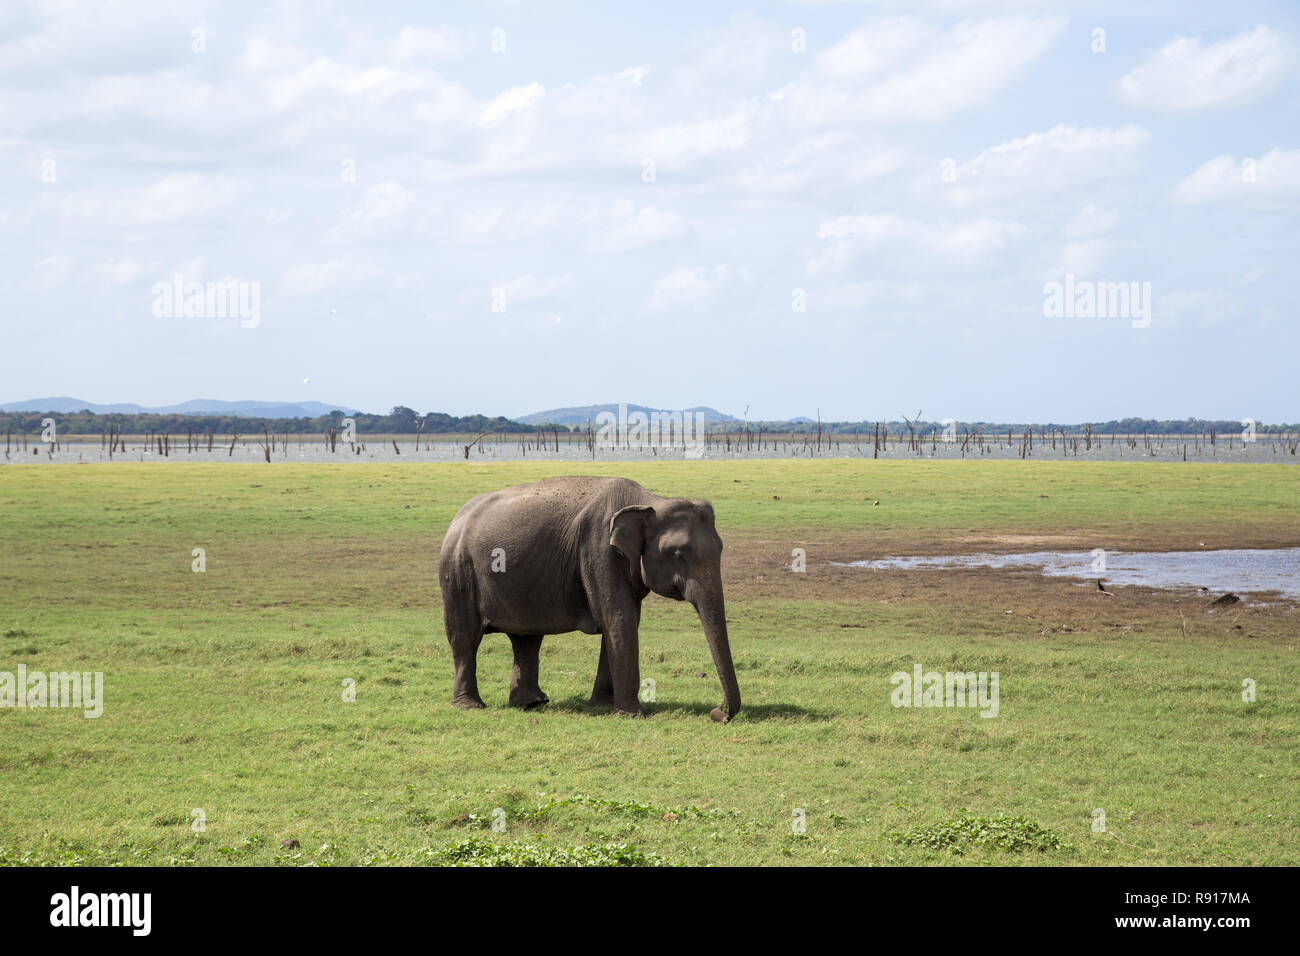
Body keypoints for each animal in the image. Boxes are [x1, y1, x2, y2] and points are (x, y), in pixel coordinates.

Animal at [436, 476, 743, 723]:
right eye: (678, 554)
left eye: (721, 549)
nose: (718, 713)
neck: (649, 500)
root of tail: (455, 519)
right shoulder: (598, 550)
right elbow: (619, 618)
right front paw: (632, 715)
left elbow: (621, 621)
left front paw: (603, 706)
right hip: (458, 573)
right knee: (465, 638)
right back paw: (470, 707)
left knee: (527, 639)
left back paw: (532, 703)